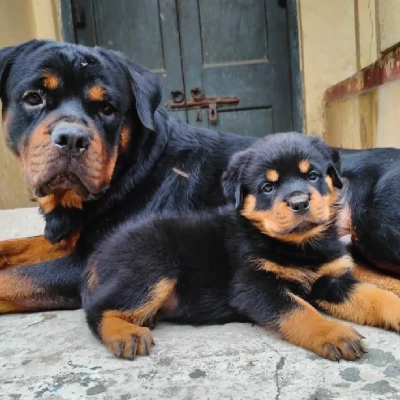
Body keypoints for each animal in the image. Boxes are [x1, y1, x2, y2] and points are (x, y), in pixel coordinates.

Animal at [1, 39, 400, 316]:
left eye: (108, 108)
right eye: (34, 98)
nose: (72, 138)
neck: (131, 170)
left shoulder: (91, 260)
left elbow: (11, 280)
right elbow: (15, 247)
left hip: (376, 226)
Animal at [83, 134, 400, 362]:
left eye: (313, 176)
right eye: (267, 188)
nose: (299, 202)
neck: (299, 246)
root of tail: (100, 252)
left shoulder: (332, 280)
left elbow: (377, 296)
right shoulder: (255, 286)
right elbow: (299, 311)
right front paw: (333, 332)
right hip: (154, 267)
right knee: (97, 309)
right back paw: (125, 333)